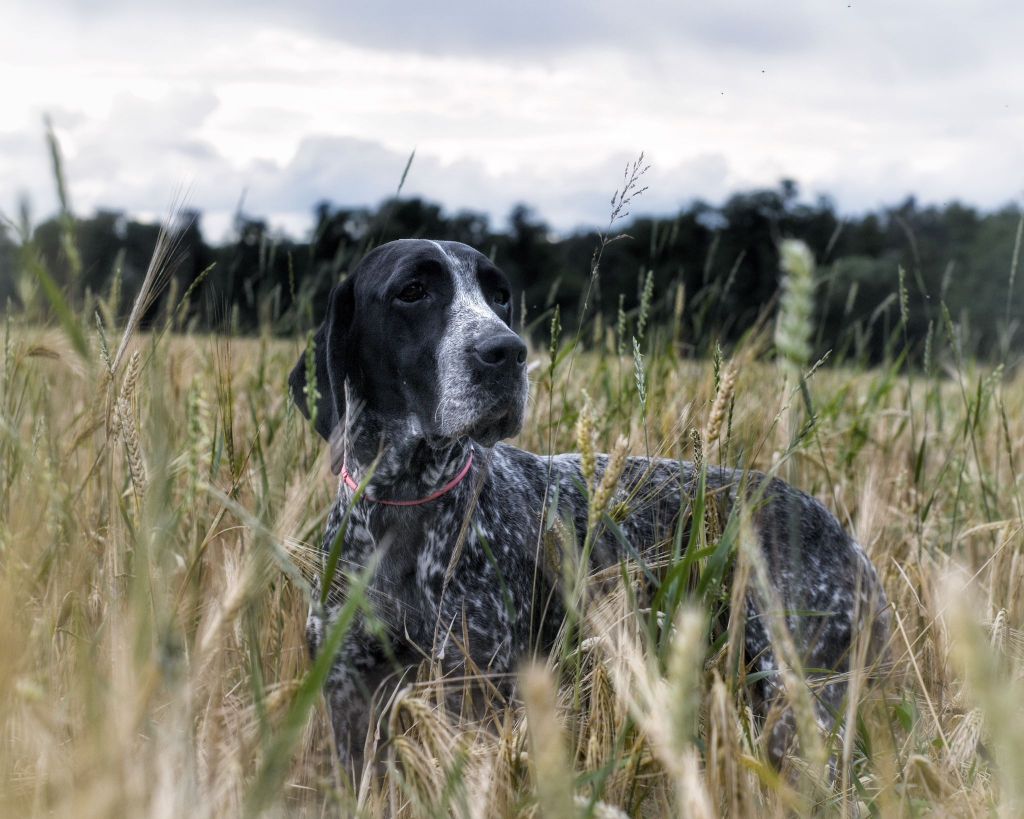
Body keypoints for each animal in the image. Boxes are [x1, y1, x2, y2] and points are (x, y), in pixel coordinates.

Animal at [288, 235, 888, 773]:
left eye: (499, 295)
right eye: (412, 290)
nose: (507, 351)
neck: (406, 501)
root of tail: (843, 534)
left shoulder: (476, 691)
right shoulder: (350, 698)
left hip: (800, 699)